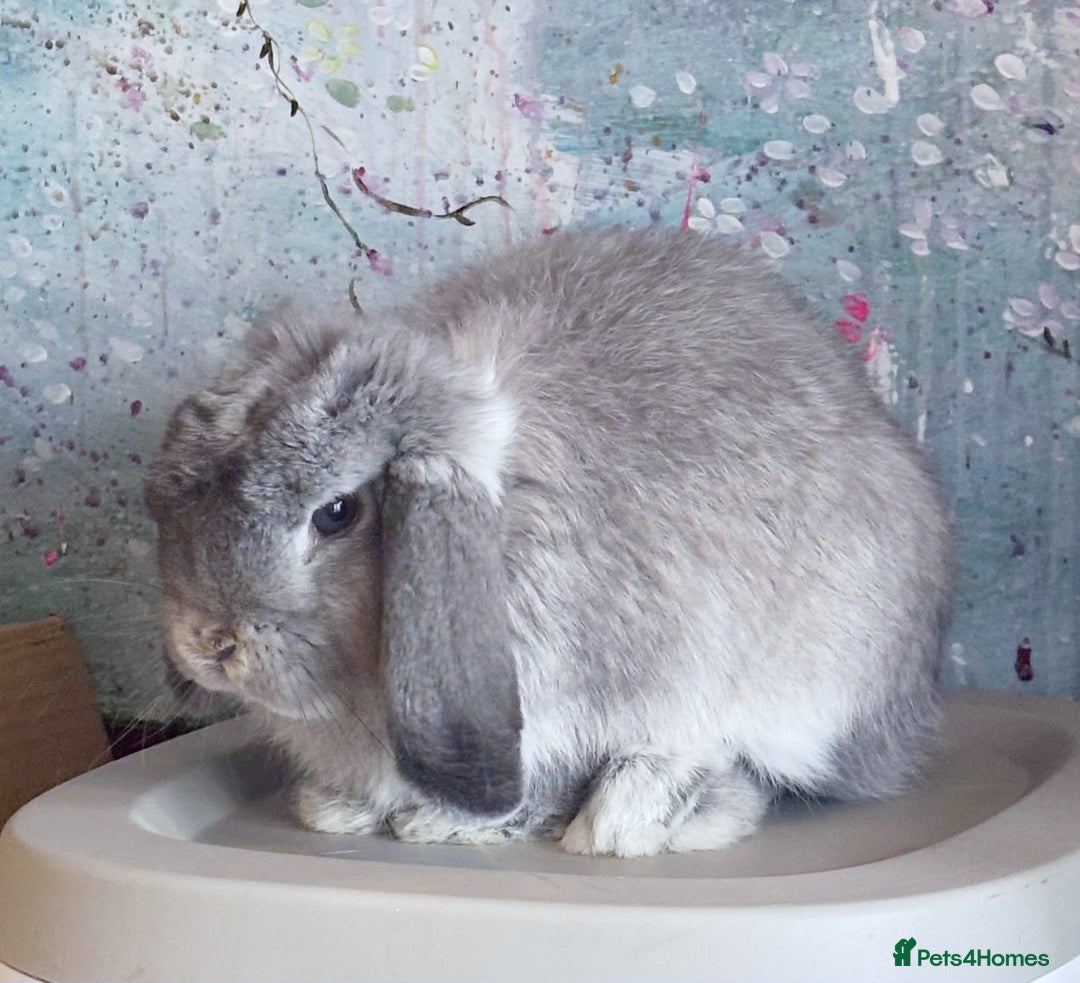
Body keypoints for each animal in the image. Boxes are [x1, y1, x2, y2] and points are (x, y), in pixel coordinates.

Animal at [145, 228, 954, 858]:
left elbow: (550, 782)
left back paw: (632, 817)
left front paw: (445, 823)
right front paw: (341, 810)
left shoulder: (583, 703)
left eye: (337, 512)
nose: (211, 643)